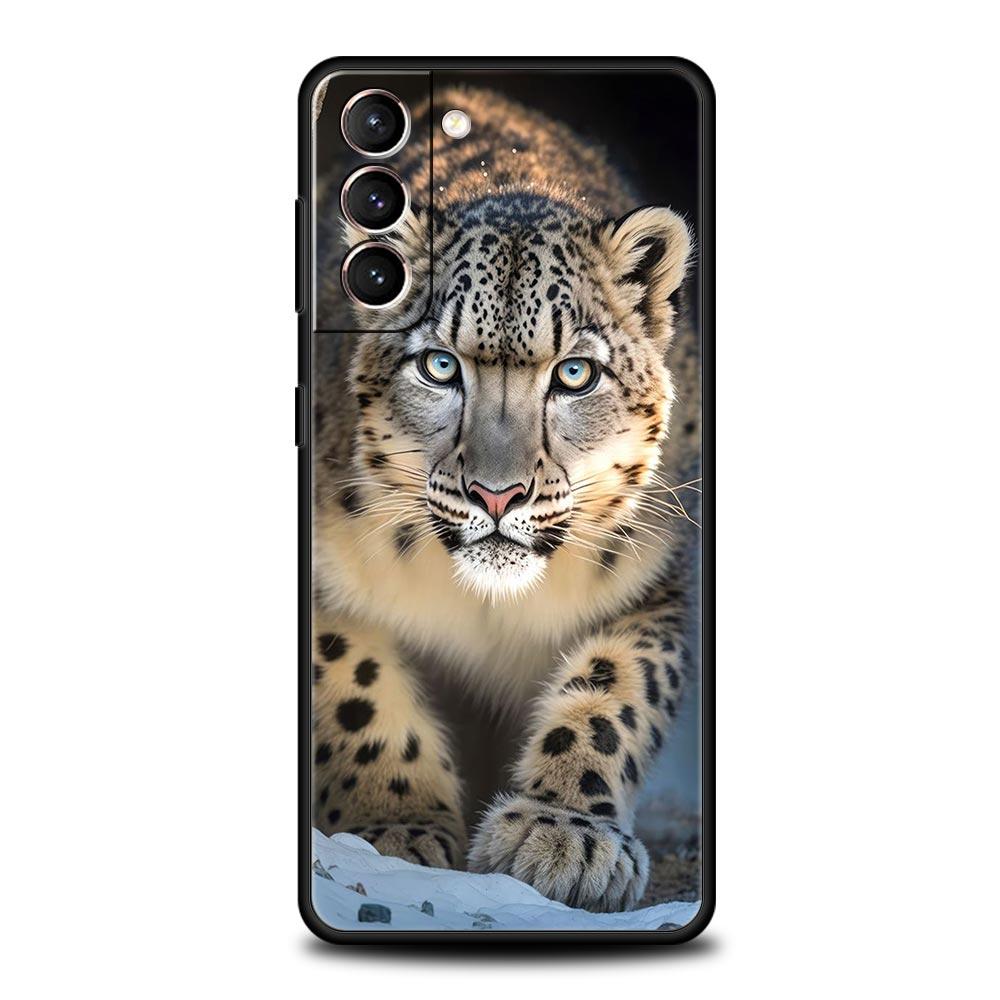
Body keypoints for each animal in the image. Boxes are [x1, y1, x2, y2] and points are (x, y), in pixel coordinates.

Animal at [310, 85, 700, 912]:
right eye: (438, 365)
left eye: (576, 374)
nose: (498, 493)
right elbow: (355, 684)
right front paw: (394, 825)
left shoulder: (653, 583)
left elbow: (615, 691)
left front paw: (563, 835)